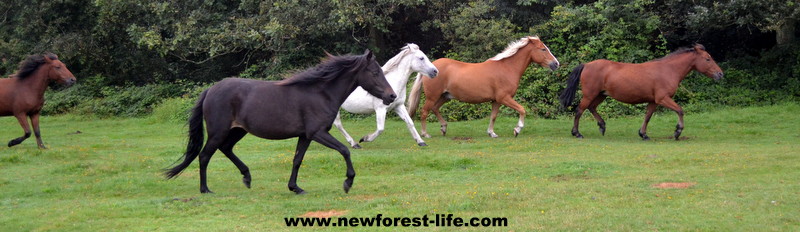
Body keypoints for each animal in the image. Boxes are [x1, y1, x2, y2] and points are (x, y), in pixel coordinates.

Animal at [410, 36, 560, 138]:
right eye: (543, 49)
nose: (556, 64)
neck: (507, 68)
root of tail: (431, 68)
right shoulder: (504, 98)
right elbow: (522, 110)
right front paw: (517, 130)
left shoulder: (496, 101)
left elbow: (493, 116)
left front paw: (491, 133)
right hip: (432, 96)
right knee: (424, 112)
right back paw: (425, 134)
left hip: (445, 96)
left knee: (435, 109)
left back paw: (444, 128)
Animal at [564, 44, 724, 140]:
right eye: (707, 59)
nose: (720, 74)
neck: (668, 70)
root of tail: (586, 65)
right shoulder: (662, 98)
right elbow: (680, 110)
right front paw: (677, 132)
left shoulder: (653, 101)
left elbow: (647, 116)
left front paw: (643, 134)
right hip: (590, 94)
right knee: (579, 110)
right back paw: (577, 133)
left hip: (600, 95)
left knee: (591, 108)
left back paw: (602, 126)